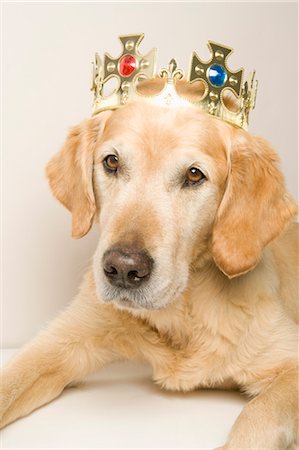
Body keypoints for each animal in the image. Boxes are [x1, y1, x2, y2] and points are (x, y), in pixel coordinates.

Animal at [0, 79, 299, 448]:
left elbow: (258, 415)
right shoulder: (59, 343)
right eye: (112, 162)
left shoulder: (289, 364)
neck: (182, 312)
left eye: (194, 175)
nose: (123, 269)